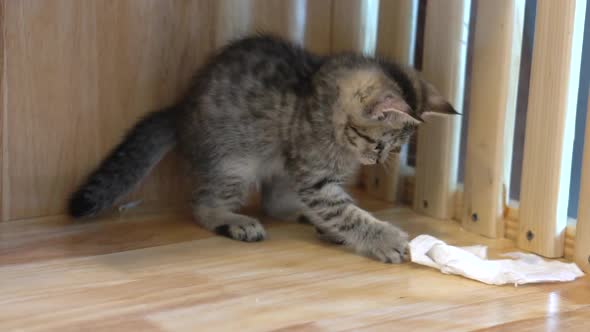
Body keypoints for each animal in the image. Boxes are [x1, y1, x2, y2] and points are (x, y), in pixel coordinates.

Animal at [68, 35, 458, 264]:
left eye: (392, 148)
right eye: (379, 143)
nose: (374, 160)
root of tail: (179, 112)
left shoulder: (308, 175)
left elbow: (337, 209)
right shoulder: (314, 177)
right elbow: (345, 212)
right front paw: (384, 238)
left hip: (277, 166)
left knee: (273, 202)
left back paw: (303, 217)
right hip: (234, 163)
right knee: (203, 205)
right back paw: (236, 222)